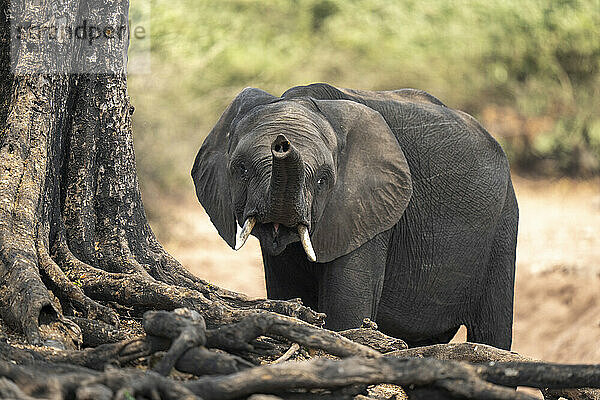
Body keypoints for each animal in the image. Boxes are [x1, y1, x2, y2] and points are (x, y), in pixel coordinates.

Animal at [193, 83, 520, 350]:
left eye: (323, 179)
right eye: (241, 169)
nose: (282, 143)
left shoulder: (370, 209)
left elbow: (346, 309)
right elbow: (286, 293)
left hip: (504, 221)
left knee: (492, 333)